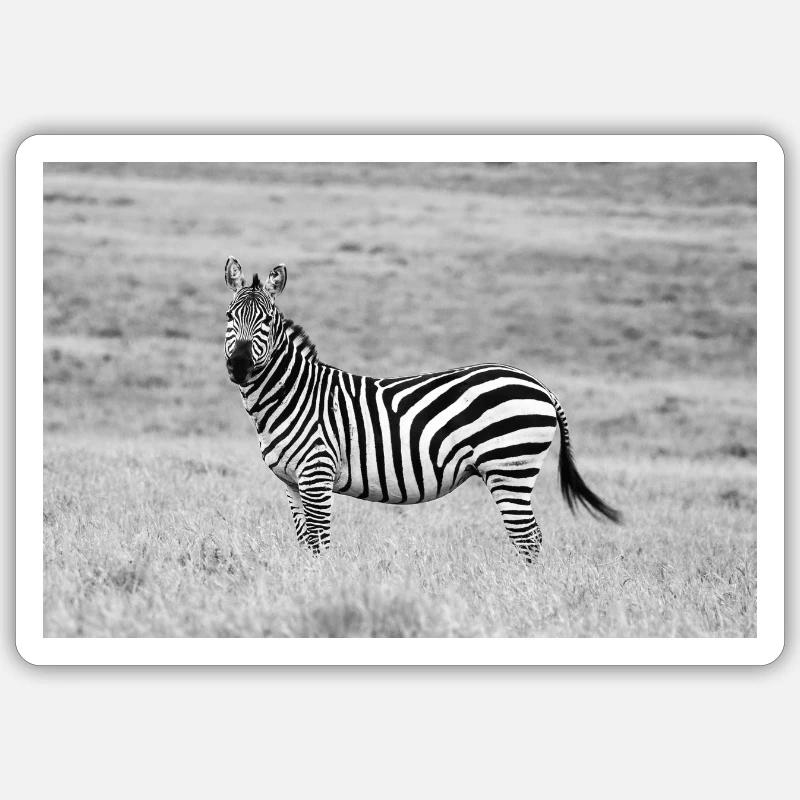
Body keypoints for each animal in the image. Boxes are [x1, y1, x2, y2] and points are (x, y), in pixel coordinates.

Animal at [224, 256, 620, 563]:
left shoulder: (317, 473)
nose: (239, 366)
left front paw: (321, 582)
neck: (293, 395)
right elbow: (305, 541)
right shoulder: (290, 482)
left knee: (528, 537)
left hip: (509, 467)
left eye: (267, 321)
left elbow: (320, 541)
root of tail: (539, 384)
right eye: (229, 316)